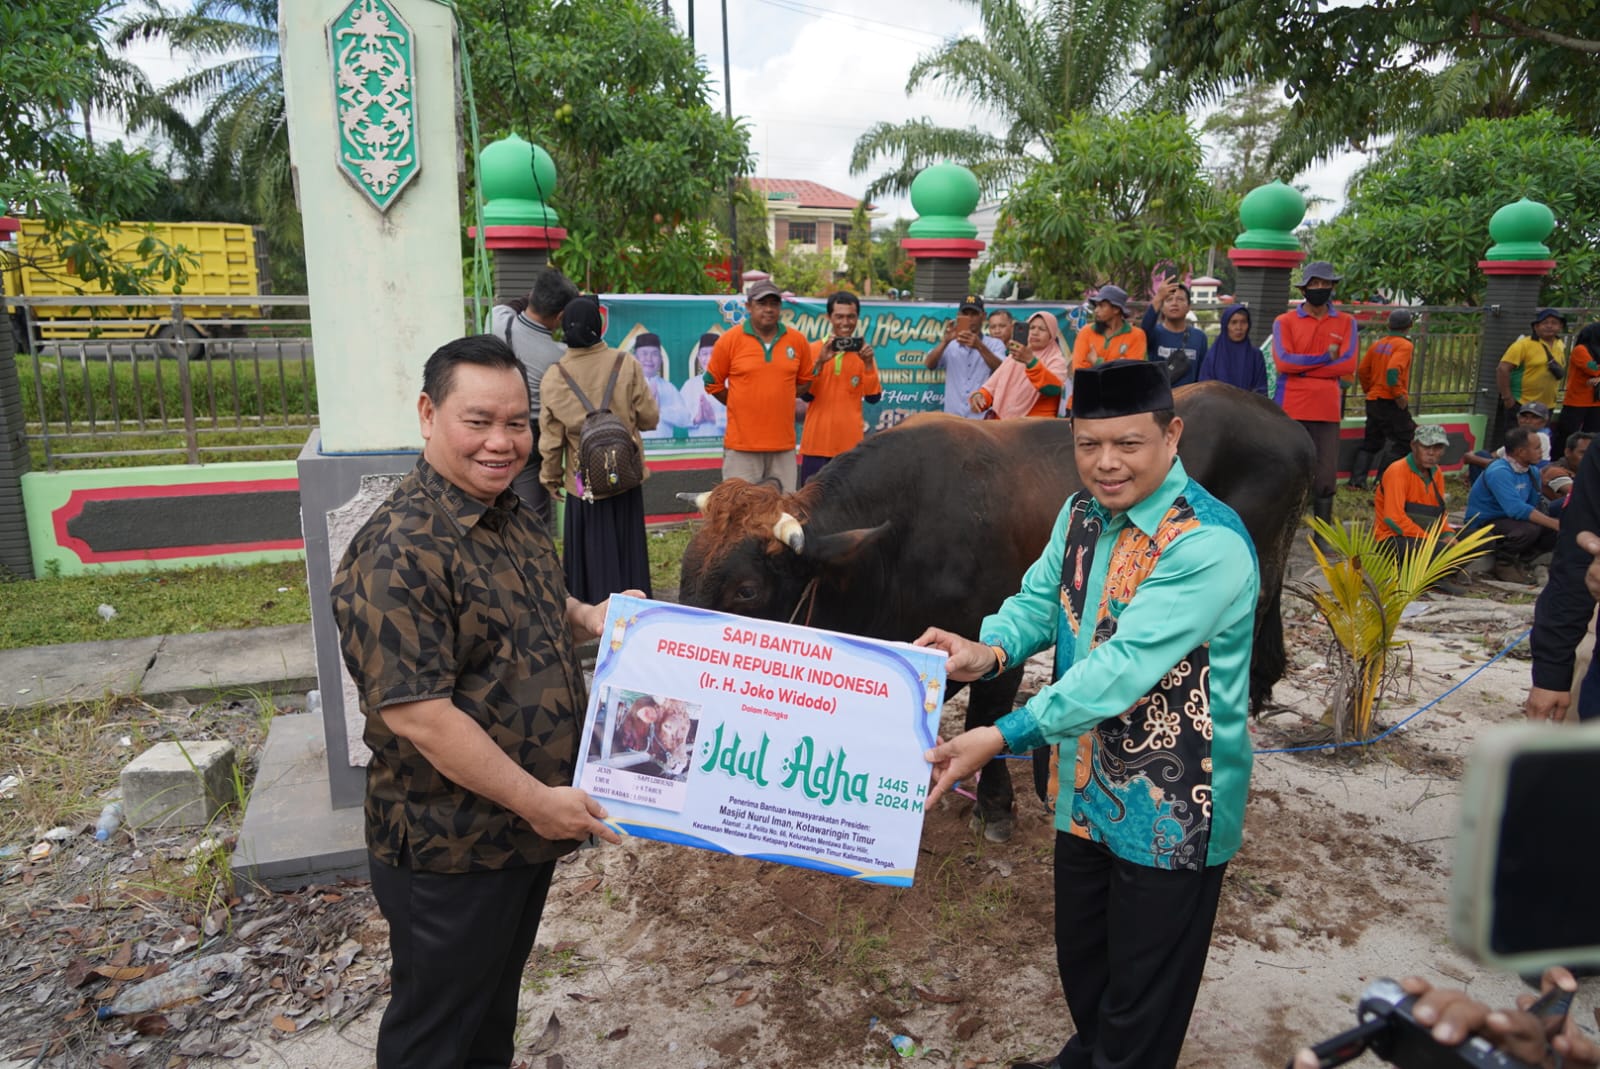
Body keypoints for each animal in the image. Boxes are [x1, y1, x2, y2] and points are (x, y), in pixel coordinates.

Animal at [675, 384, 1312, 844]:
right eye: (685, 567)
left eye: (747, 590)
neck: (890, 548)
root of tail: (1284, 422)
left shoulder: (997, 641)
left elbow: (989, 711)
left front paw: (995, 803)